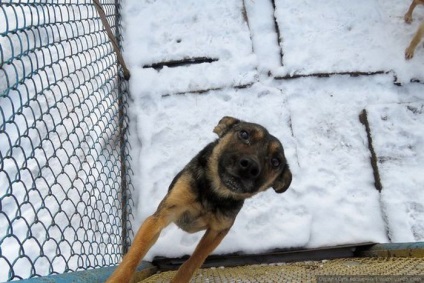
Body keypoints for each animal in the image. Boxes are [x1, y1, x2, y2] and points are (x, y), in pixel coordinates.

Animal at [106, 116, 292, 282]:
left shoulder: (217, 231)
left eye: (276, 162)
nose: (250, 166)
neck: (213, 194)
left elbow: (192, 262)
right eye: (244, 134)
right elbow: (133, 256)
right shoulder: (159, 218)